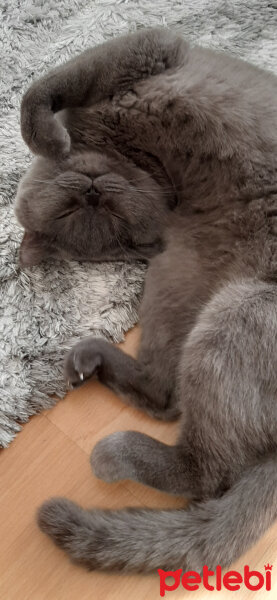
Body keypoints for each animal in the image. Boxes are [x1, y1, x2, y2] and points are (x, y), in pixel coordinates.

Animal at [14, 30, 276, 576]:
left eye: (111, 214)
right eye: (70, 210)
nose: (94, 193)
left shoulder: (147, 47)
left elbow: (39, 90)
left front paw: (50, 139)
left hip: (235, 308)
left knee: (208, 468)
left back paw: (112, 450)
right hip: (183, 284)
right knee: (171, 407)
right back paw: (88, 362)